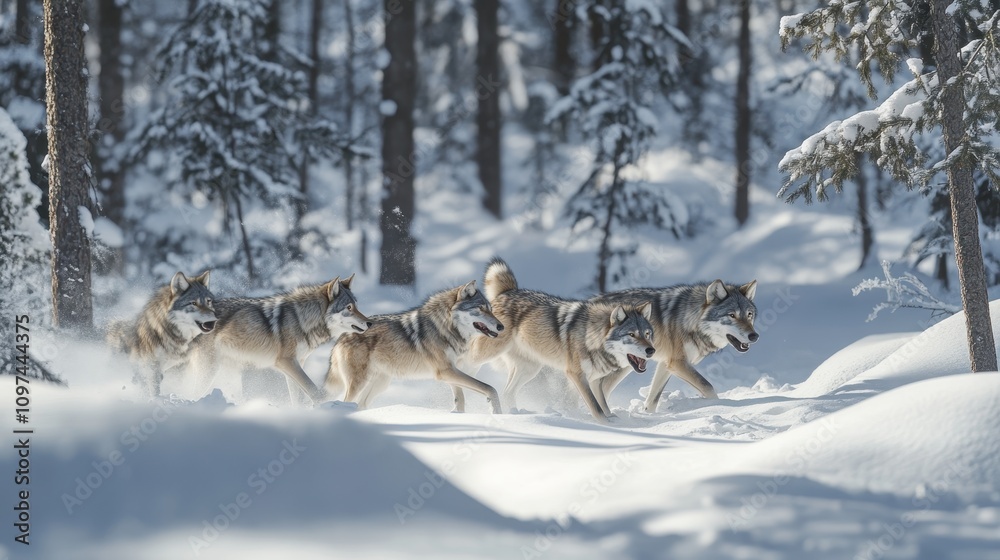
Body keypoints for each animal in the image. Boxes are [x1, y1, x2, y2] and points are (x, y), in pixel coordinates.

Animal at [200, 274, 371, 404]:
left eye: (356, 306)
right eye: (349, 308)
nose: (370, 323)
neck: (301, 319)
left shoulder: (296, 364)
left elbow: (297, 398)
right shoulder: (286, 362)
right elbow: (313, 391)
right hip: (208, 371)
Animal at [324, 280, 506, 413]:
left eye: (491, 309)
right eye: (480, 309)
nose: (501, 327)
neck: (445, 327)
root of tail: (341, 337)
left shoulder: (451, 371)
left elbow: (460, 398)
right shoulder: (445, 371)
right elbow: (490, 388)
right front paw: (497, 413)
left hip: (380, 384)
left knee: (360, 405)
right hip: (359, 384)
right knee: (346, 401)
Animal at [466, 258, 656, 422]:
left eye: (647, 334)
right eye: (632, 335)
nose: (651, 350)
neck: (592, 338)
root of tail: (508, 291)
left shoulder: (595, 380)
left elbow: (603, 405)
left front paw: (615, 422)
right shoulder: (577, 375)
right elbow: (596, 407)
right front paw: (606, 425)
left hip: (530, 369)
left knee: (507, 393)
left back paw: (513, 414)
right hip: (487, 354)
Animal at [591, 279, 758, 412]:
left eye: (749, 315)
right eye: (732, 315)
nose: (754, 336)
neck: (690, 320)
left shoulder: (667, 364)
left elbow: (652, 400)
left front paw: (648, 415)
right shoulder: (678, 363)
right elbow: (708, 387)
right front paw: (720, 406)